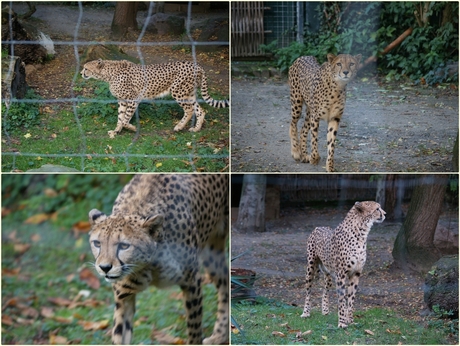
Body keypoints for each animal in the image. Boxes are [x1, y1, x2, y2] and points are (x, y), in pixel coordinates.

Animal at [81, 60, 230, 139]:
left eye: (86, 68)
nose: (81, 73)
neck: (108, 73)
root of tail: (197, 65)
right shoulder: (122, 100)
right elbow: (120, 117)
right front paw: (116, 131)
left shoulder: (134, 99)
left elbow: (124, 119)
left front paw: (132, 128)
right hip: (189, 93)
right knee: (200, 110)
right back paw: (196, 129)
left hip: (178, 92)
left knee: (189, 110)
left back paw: (179, 126)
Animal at [88, 174, 228, 344]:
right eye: (97, 243)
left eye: (124, 245)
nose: (104, 267)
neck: (148, 265)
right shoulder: (124, 297)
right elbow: (120, 334)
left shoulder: (192, 282)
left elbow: (194, 330)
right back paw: (220, 335)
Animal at [300, 200, 386, 328]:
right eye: (377, 209)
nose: (385, 214)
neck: (361, 233)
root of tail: (319, 227)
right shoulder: (341, 274)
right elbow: (341, 299)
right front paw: (342, 322)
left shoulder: (356, 273)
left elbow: (350, 299)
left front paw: (350, 320)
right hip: (311, 267)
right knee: (308, 291)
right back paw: (306, 313)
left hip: (329, 274)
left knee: (325, 290)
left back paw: (325, 310)